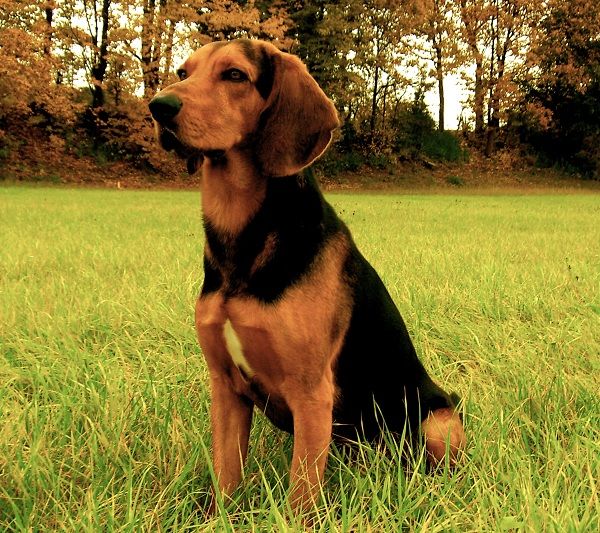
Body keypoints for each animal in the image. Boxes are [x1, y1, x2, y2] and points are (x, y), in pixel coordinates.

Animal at [148, 38, 466, 512]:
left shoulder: (312, 393)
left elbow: (301, 498)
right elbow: (226, 477)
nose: (158, 106)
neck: (242, 236)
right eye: (183, 73)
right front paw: (219, 517)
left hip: (436, 422)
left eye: (235, 75)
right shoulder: (225, 388)